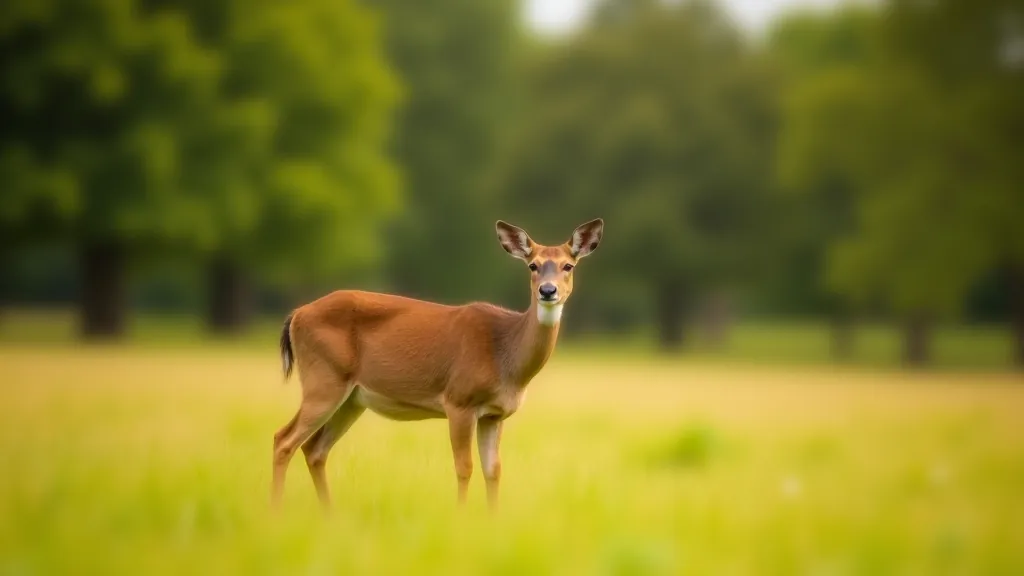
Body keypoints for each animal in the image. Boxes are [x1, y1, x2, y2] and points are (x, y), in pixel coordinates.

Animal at [271, 218, 604, 510]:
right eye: (532, 265)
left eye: (568, 265)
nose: (548, 290)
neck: (505, 355)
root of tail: (297, 314)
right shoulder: (458, 401)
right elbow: (464, 467)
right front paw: (460, 517)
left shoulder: (495, 414)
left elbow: (494, 470)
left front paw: (493, 520)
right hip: (323, 380)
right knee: (283, 440)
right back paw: (275, 512)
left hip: (352, 398)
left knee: (314, 449)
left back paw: (329, 514)